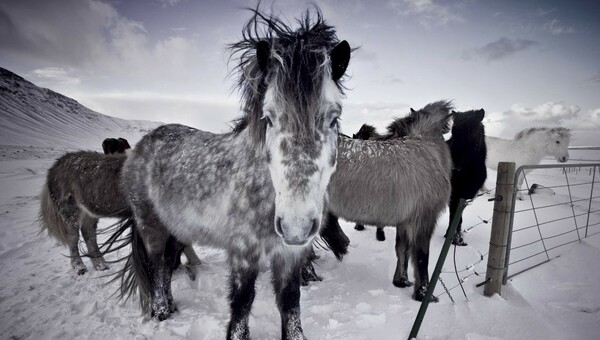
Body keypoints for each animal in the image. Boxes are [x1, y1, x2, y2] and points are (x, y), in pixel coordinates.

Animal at [111, 8, 352, 340]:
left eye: (333, 118)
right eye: (268, 118)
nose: (296, 226)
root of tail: (140, 147)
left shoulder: (290, 254)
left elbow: (290, 302)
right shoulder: (243, 252)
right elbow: (242, 302)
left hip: (178, 228)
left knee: (169, 264)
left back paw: (171, 307)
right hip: (152, 226)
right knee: (158, 266)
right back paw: (160, 311)